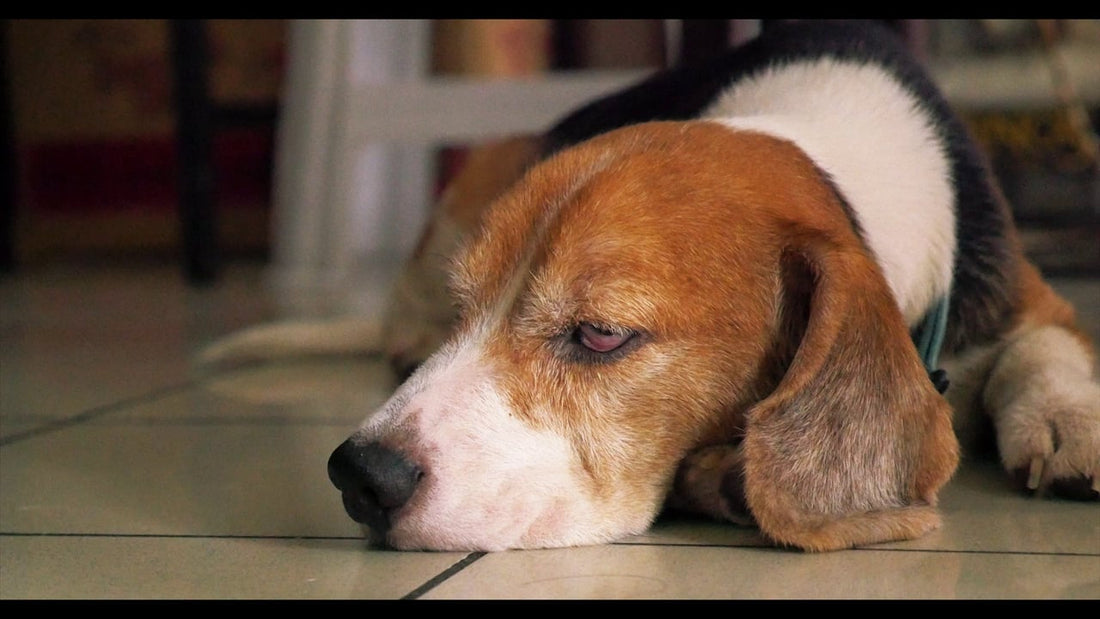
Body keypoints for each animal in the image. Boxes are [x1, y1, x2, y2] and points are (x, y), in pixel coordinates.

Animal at [207, 20, 1100, 551]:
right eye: (466, 308)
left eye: (601, 334)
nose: (361, 476)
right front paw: (724, 479)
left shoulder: (1025, 298)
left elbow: (1044, 350)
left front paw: (1072, 423)